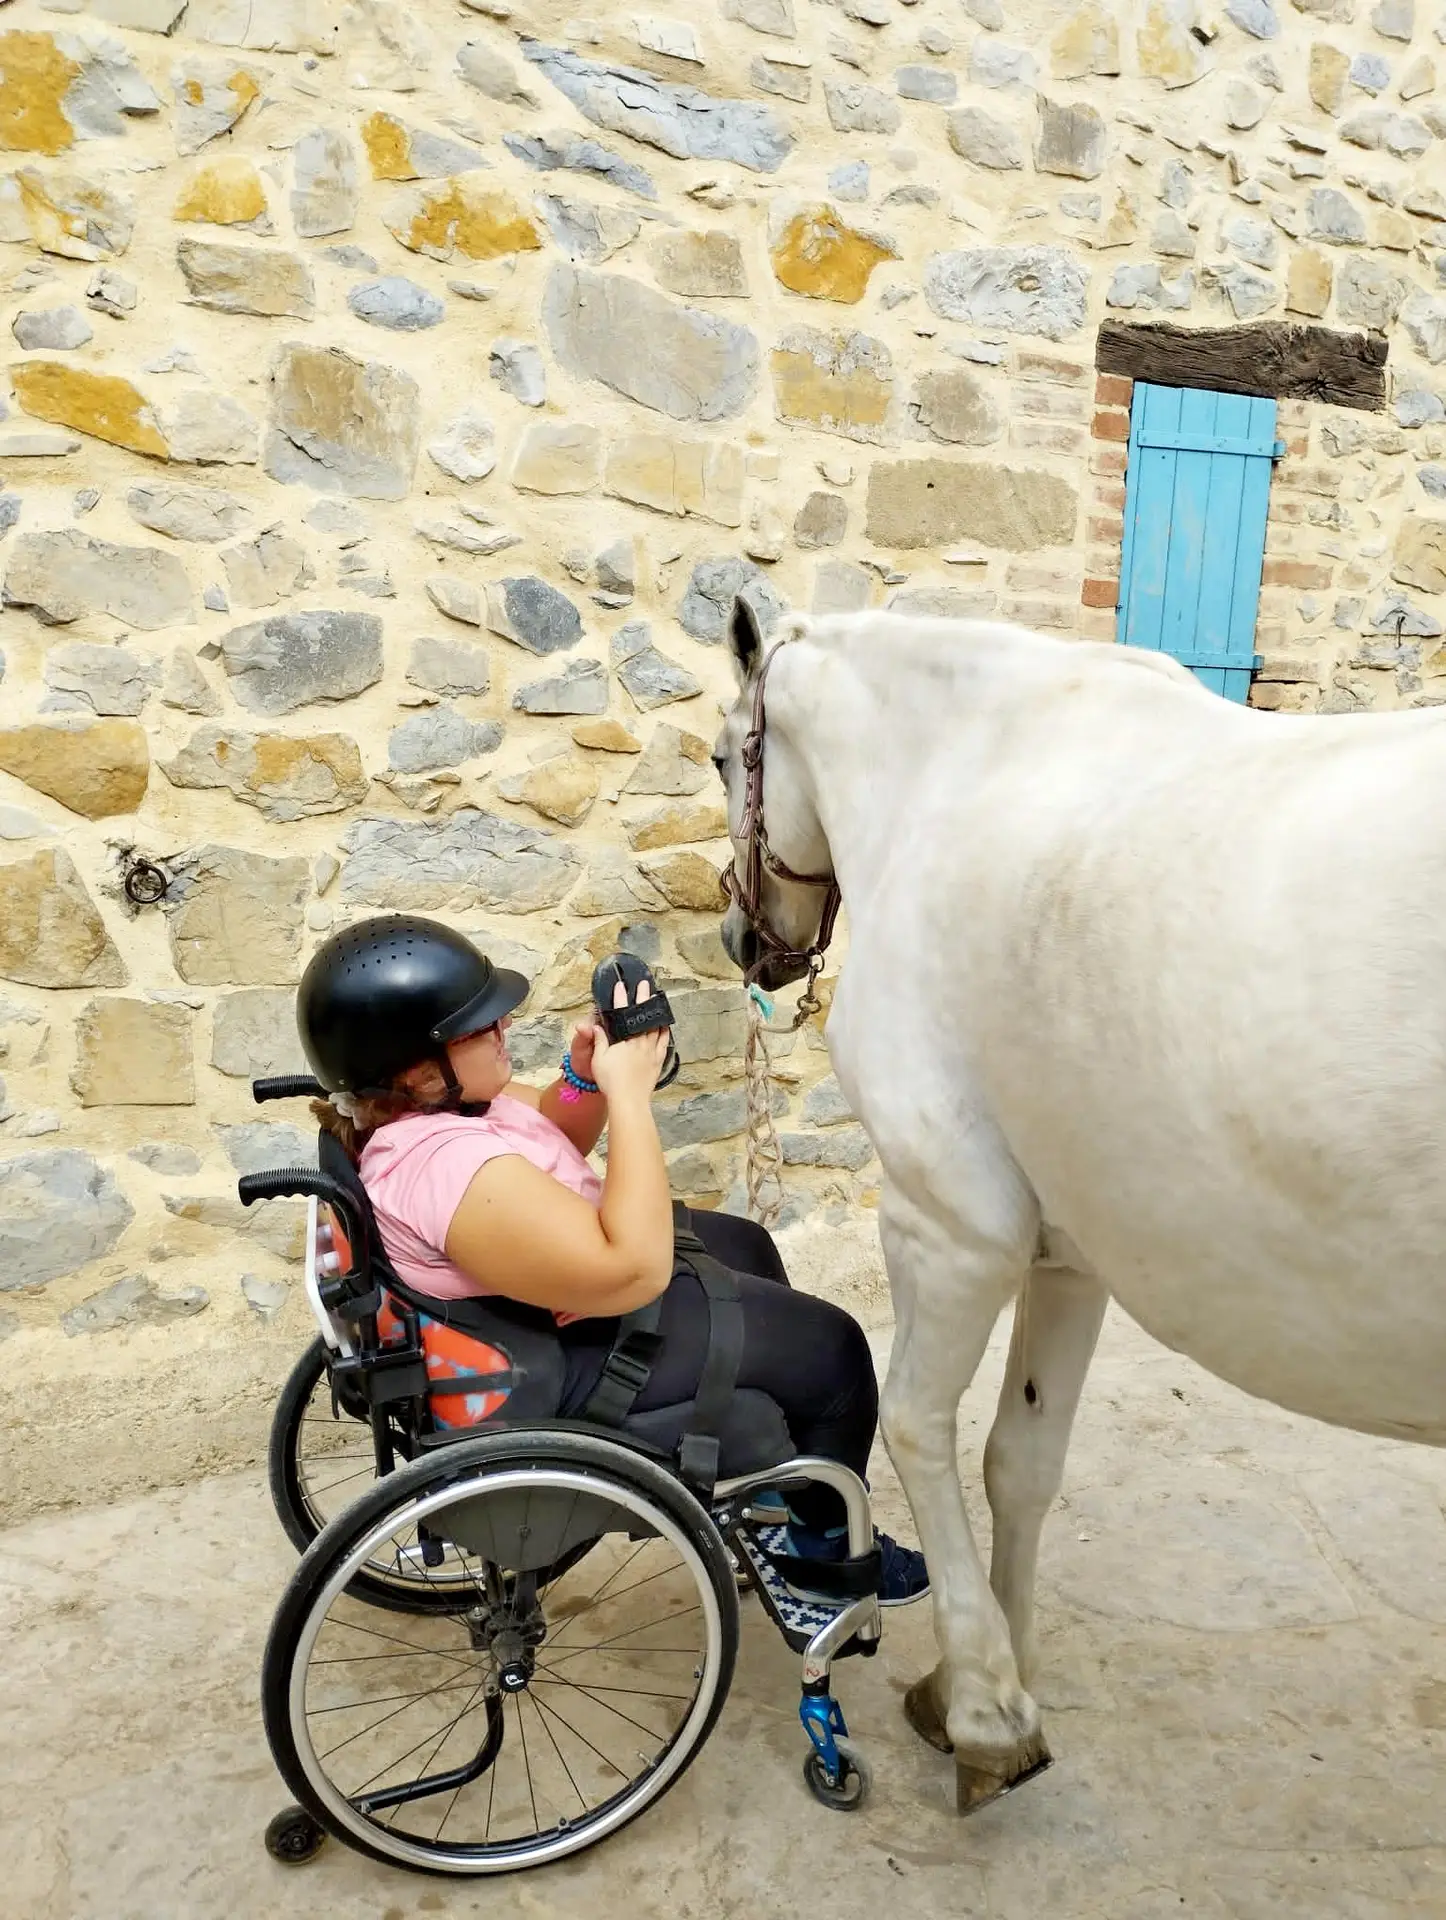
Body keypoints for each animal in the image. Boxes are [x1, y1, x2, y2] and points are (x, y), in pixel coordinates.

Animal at [711, 596, 1446, 1814]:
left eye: (728, 756)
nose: (745, 940)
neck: (958, 771)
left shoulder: (950, 1228)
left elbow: (917, 1424)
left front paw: (983, 1708)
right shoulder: (1069, 1254)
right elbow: (1022, 1457)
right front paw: (989, 1671)